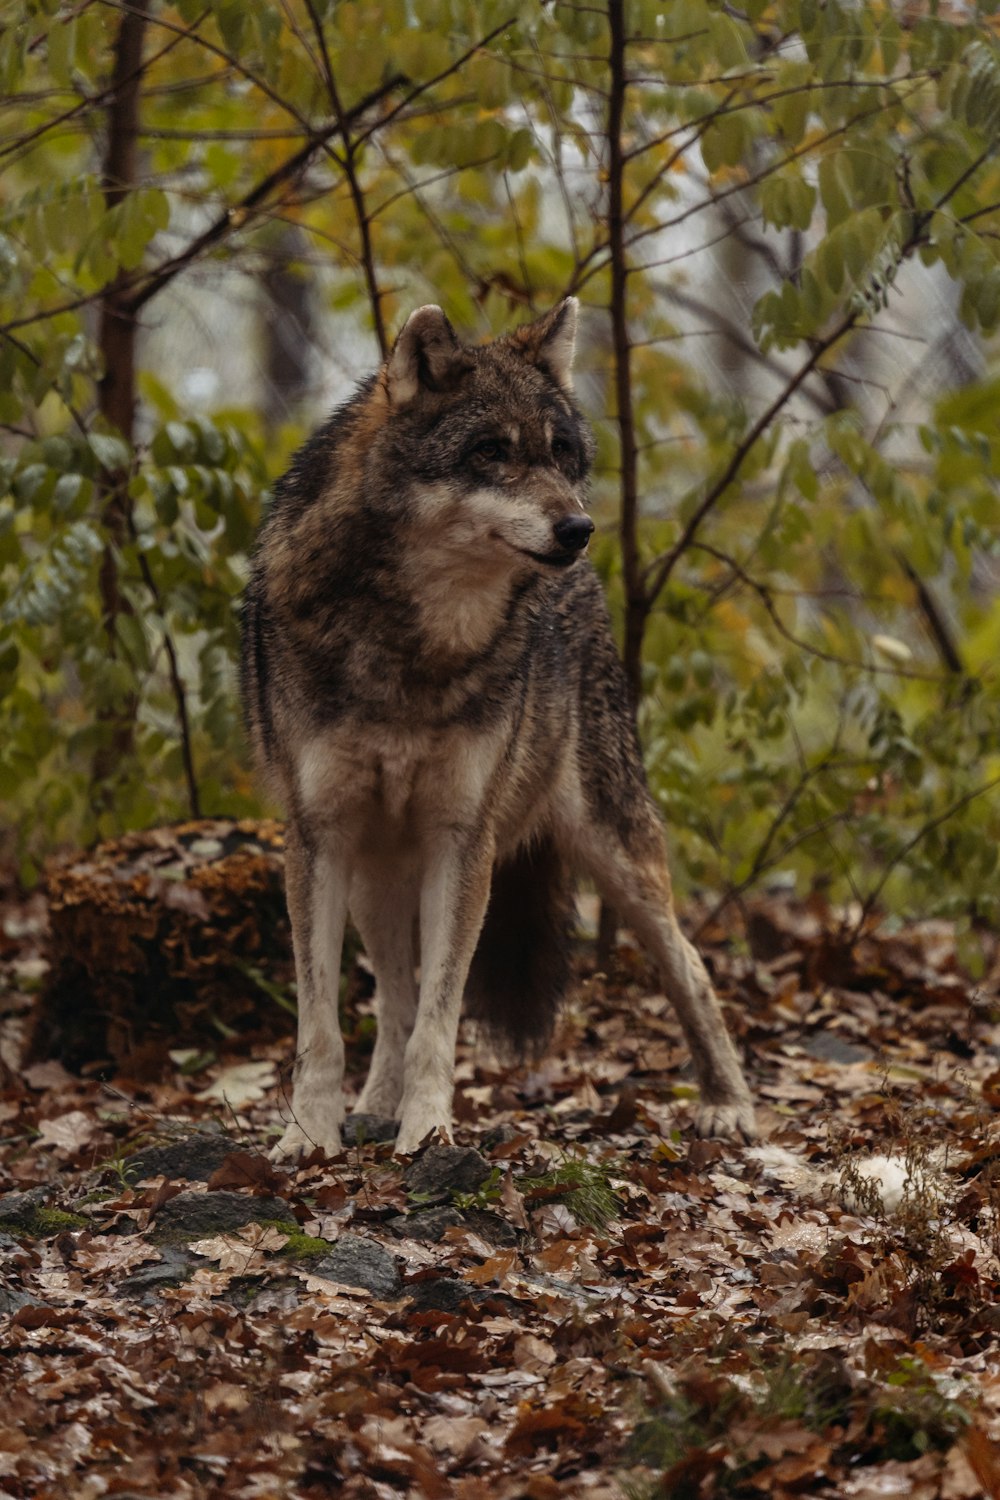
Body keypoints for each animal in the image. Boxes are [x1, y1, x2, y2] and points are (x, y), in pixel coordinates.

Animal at [244, 298, 758, 1152]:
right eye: (490, 452)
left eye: (559, 453)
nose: (579, 528)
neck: (415, 643)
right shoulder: (320, 836)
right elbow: (324, 1027)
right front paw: (311, 1138)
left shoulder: (464, 837)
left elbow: (440, 1019)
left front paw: (427, 1136)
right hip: (379, 873)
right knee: (392, 999)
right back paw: (372, 1107)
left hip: (613, 852)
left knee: (691, 966)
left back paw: (729, 1104)